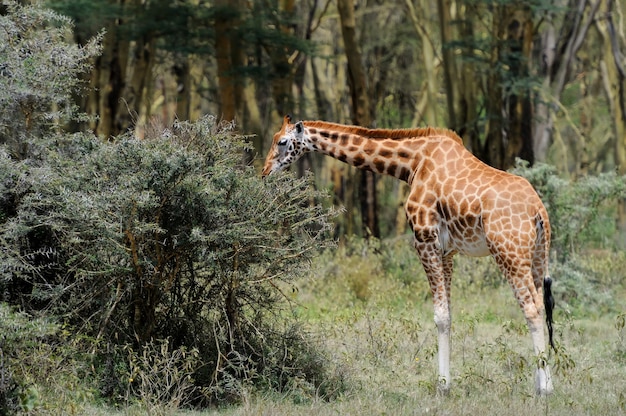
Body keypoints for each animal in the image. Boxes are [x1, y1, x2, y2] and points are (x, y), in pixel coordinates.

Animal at [260, 115, 552, 394]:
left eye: (282, 142)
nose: (264, 173)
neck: (413, 163)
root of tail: (539, 210)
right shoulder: (447, 250)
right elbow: (449, 313)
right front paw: (446, 383)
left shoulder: (424, 239)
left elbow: (440, 316)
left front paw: (442, 386)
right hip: (538, 257)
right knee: (541, 305)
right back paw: (542, 382)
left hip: (509, 253)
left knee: (531, 309)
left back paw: (546, 389)